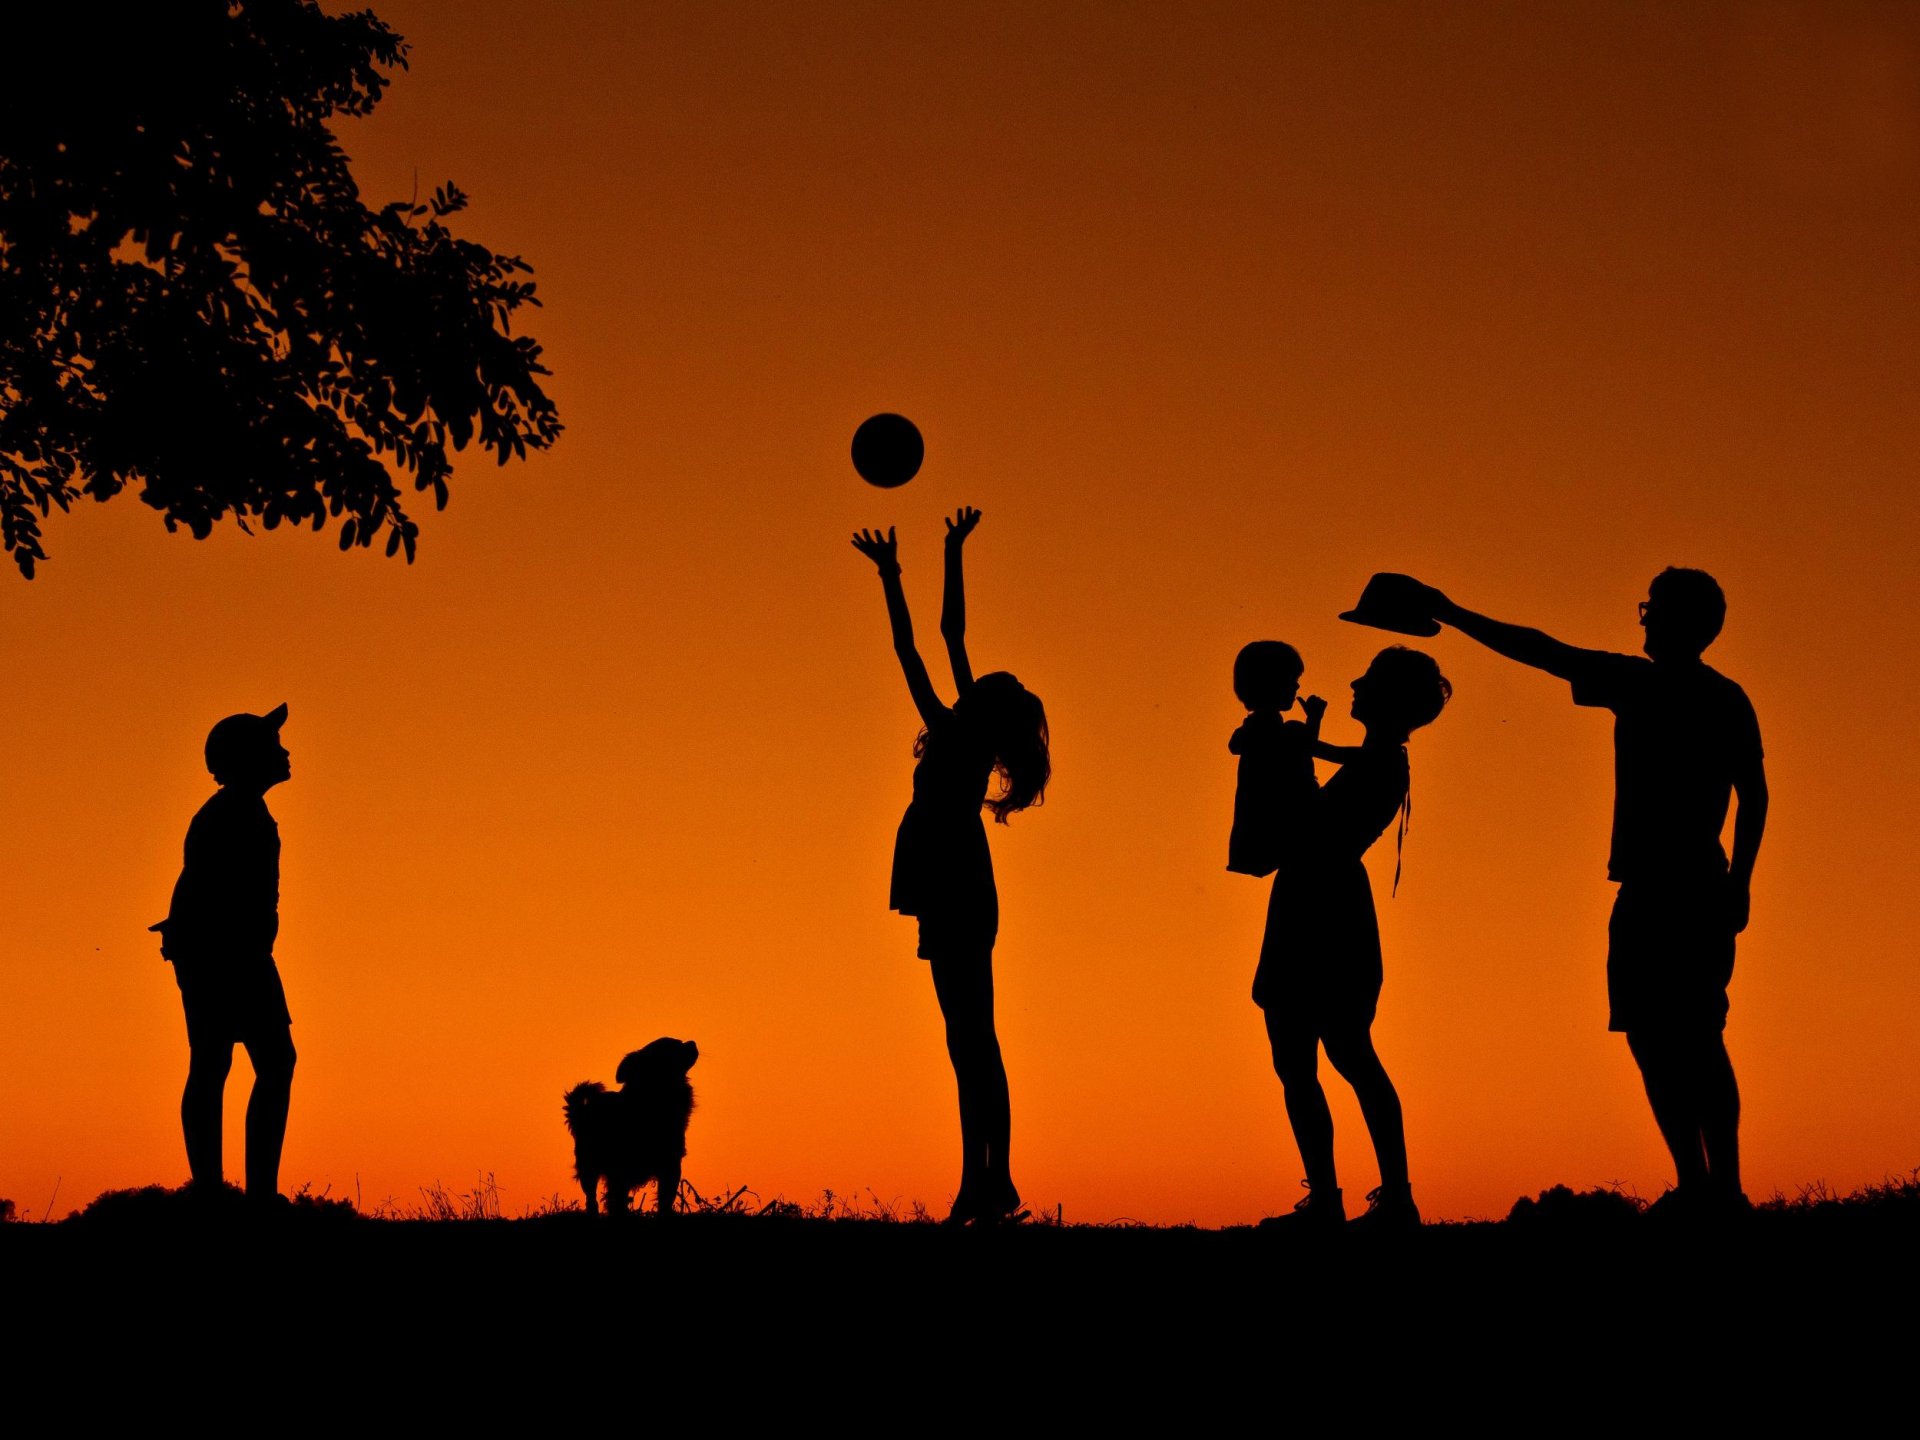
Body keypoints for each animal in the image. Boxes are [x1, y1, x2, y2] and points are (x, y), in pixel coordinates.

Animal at [560, 1044, 698, 1213]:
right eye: (674, 1047)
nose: (692, 1042)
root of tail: (583, 1110)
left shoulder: (670, 1165)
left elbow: (665, 1199)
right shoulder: (619, 1170)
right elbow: (617, 1199)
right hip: (588, 1166)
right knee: (591, 1197)